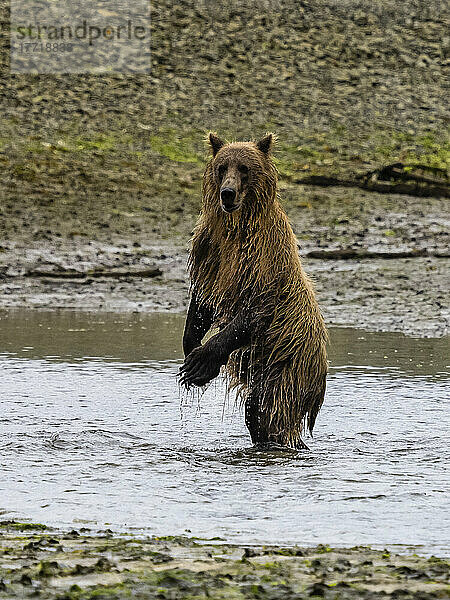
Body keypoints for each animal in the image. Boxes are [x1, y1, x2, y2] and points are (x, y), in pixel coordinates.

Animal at [180, 132, 326, 450]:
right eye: (222, 167)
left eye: (244, 168)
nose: (227, 193)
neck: (237, 227)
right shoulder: (211, 250)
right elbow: (202, 301)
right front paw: (190, 350)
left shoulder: (262, 262)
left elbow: (254, 310)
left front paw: (200, 362)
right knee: (258, 412)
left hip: (286, 363)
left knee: (269, 409)